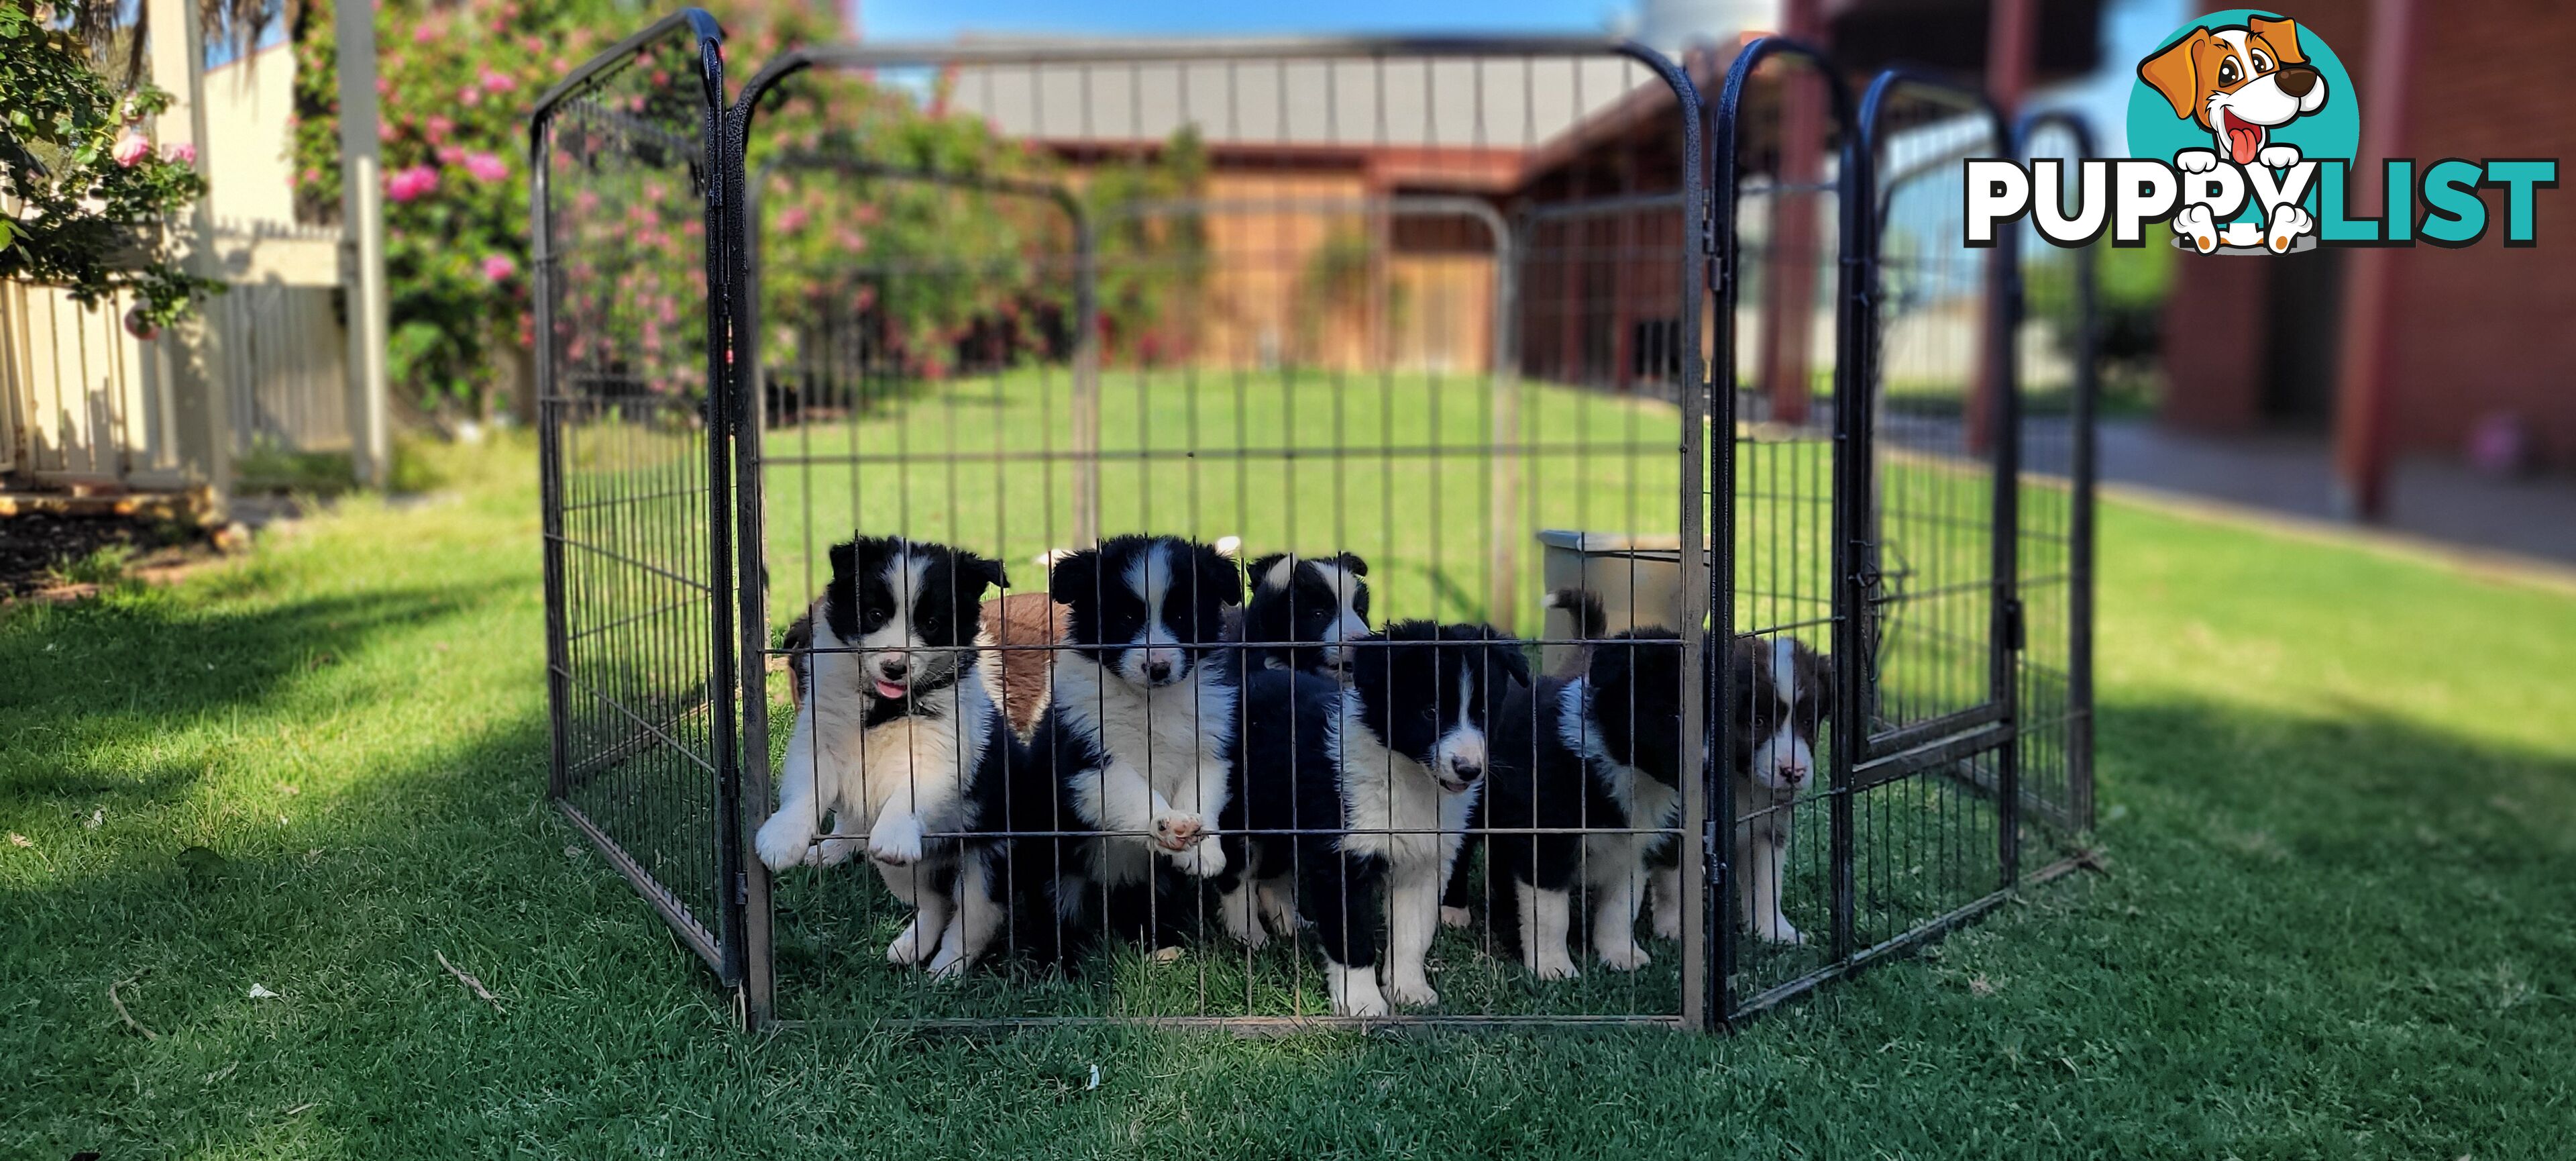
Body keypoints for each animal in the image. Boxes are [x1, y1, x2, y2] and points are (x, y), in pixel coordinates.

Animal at [752, 538, 1010, 972]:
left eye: (932, 624)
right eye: (874, 615)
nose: (894, 667)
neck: (885, 706)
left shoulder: (945, 747)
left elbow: (913, 792)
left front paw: (894, 835)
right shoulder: (818, 736)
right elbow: (805, 789)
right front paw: (782, 840)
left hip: (984, 865)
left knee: (974, 919)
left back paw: (946, 969)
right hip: (907, 873)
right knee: (936, 904)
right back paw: (910, 947)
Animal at [1040, 535, 1252, 916]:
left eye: (1181, 616)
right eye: (1126, 617)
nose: (1158, 668)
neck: (1152, 702)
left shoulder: (1210, 745)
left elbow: (1202, 792)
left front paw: (1203, 851)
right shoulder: (1089, 756)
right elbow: (1134, 792)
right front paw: (1167, 826)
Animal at [1210, 623, 1525, 1014]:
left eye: (1483, 712)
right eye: (1430, 711)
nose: (1469, 769)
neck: (1409, 780)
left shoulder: (1424, 861)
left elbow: (1412, 934)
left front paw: (1409, 990)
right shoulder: (1344, 857)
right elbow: (1353, 937)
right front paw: (1361, 1003)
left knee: (1272, 872)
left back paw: (1290, 922)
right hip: (1238, 815)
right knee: (1235, 877)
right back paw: (1249, 935)